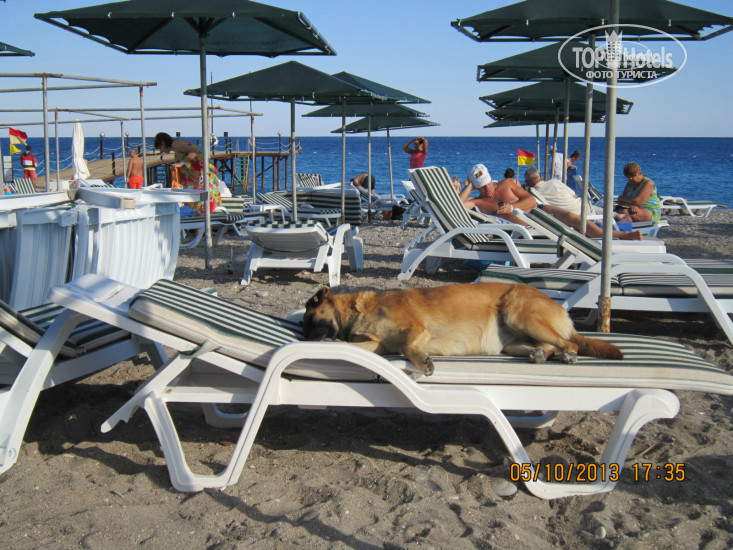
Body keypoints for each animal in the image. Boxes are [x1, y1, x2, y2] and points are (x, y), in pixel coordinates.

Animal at [303, 282, 623, 376]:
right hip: (513, 340)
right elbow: (354, 346)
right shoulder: (376, 345)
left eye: (311, 320)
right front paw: (335, 345)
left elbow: (408, 347)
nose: (304, 338)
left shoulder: (416, 330)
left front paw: (424, 362)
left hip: (519, 314)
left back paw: (568, 354)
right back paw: (540, 355)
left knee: (569, 343)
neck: (359, 310)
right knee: (549, 346)